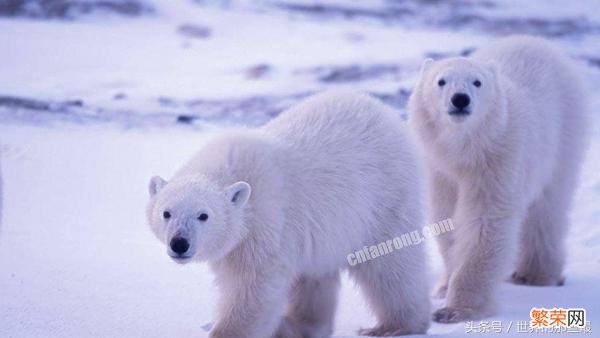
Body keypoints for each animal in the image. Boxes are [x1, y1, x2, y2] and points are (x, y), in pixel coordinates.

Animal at [146, 91, 432, 336]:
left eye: (204, 215)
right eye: (166, 213)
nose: (179, 243)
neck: (233, 171)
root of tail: (384, 111)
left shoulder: (265, 222)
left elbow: (254, 287)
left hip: (385, 195)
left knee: (391, 262)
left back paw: (396, 326)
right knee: (315, 277)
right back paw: (300, 326)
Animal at [410, 35, 588, 324]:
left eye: (477, 82)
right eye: (441, 81)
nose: (460, 99)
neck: (464, 151)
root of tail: (538, 42)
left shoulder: (497, 161)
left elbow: (485, 222)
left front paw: (455, 309)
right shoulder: (439, 170)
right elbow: (447, 219)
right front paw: (445, 287)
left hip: (563, 134)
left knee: (547, 208)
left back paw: (535, 274)